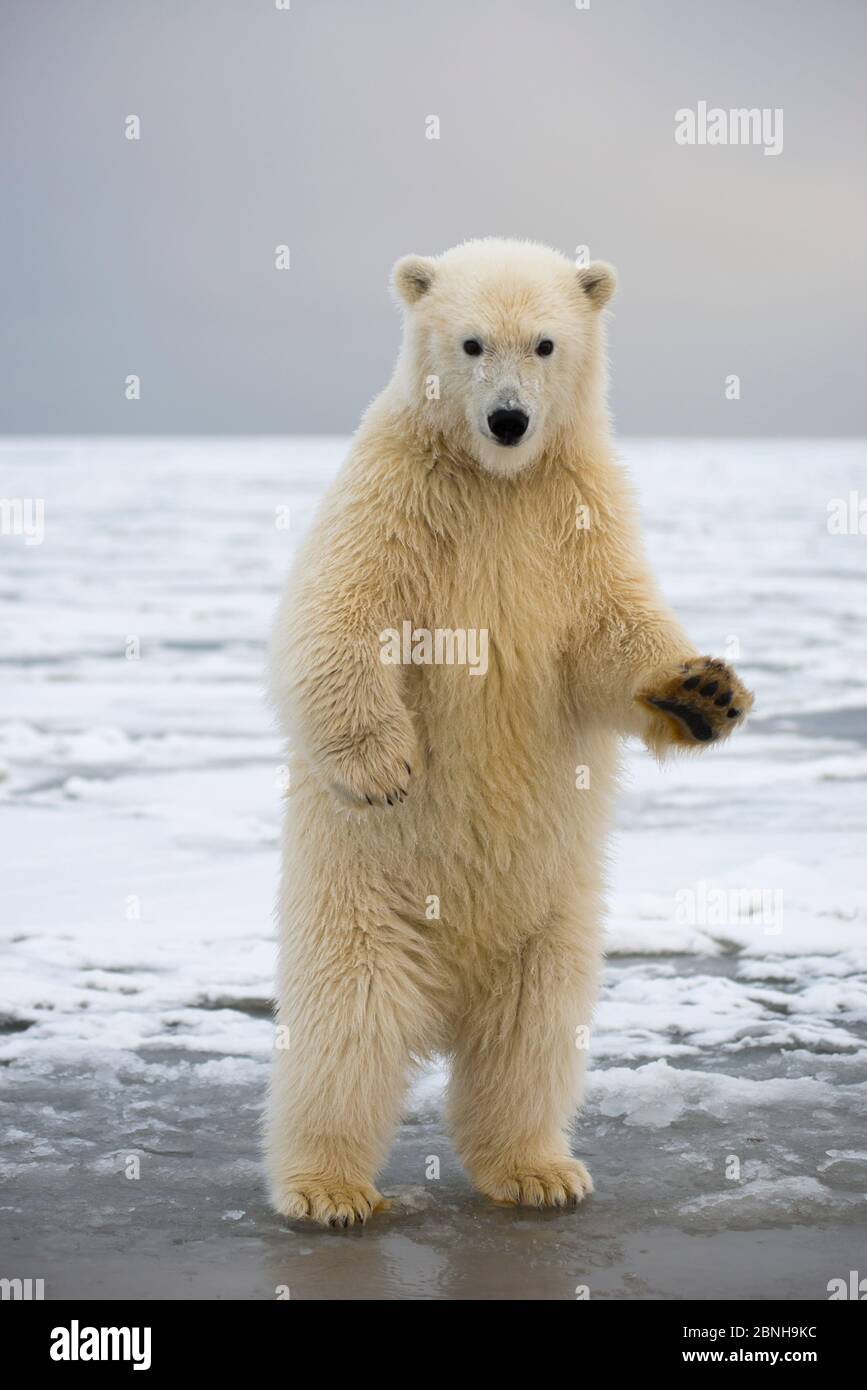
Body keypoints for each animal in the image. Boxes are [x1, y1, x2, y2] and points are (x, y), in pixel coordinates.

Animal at [265, 238, 752, 1225]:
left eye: (545, 343)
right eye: (470, 341)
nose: (507, 421)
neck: (494, 484)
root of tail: (448, 989)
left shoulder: (576, 515)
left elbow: (609, 639)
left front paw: (702, 692)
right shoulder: (395, 498)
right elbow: (340, 617)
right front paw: (383, 766)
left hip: (553, 915)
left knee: (531, 1036)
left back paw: (535, 1169)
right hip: (362, 899)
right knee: (347, 1029)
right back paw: (329, 1186)